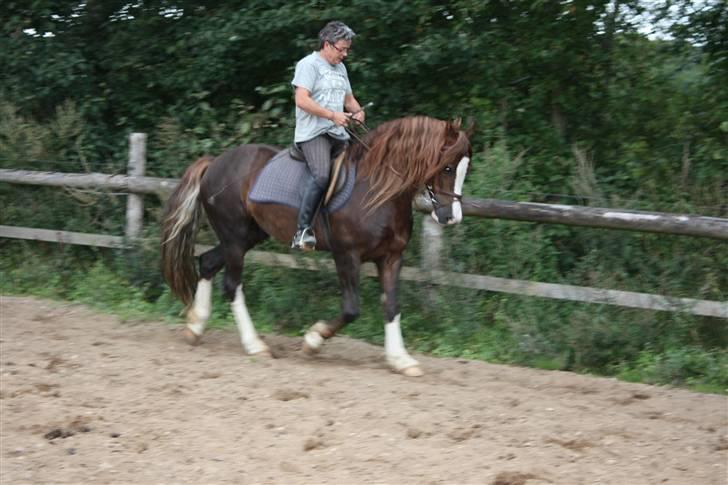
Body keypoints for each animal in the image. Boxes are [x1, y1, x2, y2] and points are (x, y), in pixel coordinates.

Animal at [159, 115, 472, 376]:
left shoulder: (392, 257)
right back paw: (255, 345)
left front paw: (401, 360)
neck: (377, 190)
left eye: (464, 169)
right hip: (235, 238)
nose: (451, 217)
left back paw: (195, 326)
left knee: (207, 263)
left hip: (246, 237)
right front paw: (313, 340)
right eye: (447, 167)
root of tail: (214, 163)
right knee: (232, 285)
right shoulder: (347, 255)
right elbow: (351, 309)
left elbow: (392, 305)